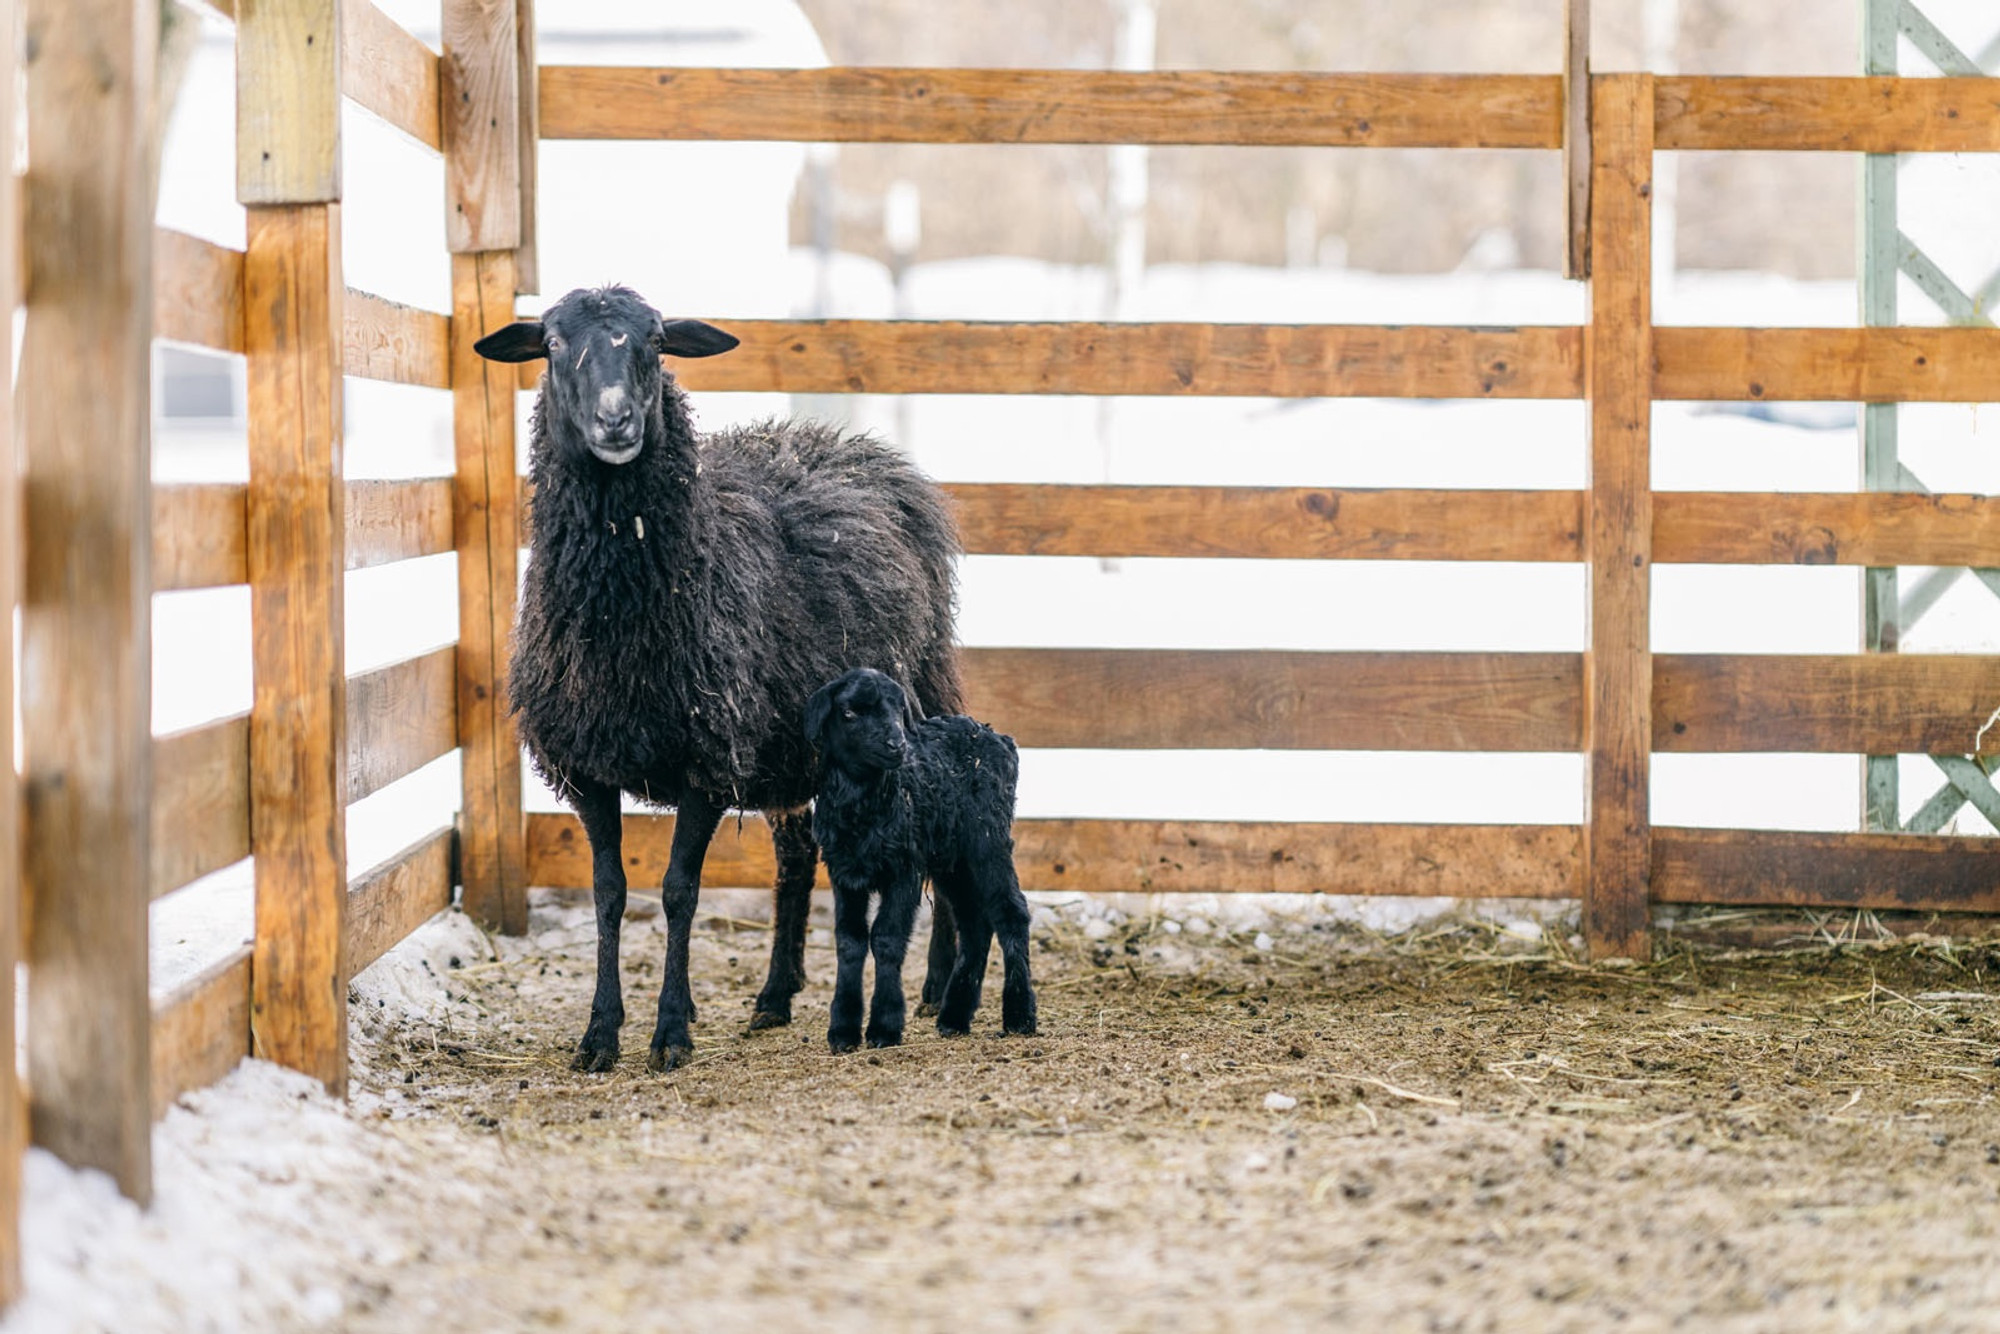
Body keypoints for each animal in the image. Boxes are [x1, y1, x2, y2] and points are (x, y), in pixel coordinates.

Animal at [472, 284, 964, 1072]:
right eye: (550, 343)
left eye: (655, 340)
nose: (617, 419)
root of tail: (850, 444)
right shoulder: (587, 769)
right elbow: (609, 893)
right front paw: (600, 1034)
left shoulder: (705, 758)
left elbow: (679, 893)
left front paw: (670, 1031)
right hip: (796, 745)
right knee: (795, 854)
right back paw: (774, 996)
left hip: (920, 688)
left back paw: (936, 985)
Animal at [804, 668, 1040, 1056]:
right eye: (849, 713)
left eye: (898, 710)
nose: (896, 745)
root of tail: (1001, 738)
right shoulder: (844, 873)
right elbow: (850, 941)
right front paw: (843, 1032)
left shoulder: (904, 868)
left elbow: (886, 938)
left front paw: (884, 1029)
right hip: (951, 859)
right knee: (974, 923)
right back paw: (954, 1018)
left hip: (986, 838)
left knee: (1011, 911)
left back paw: (1019, 1016)